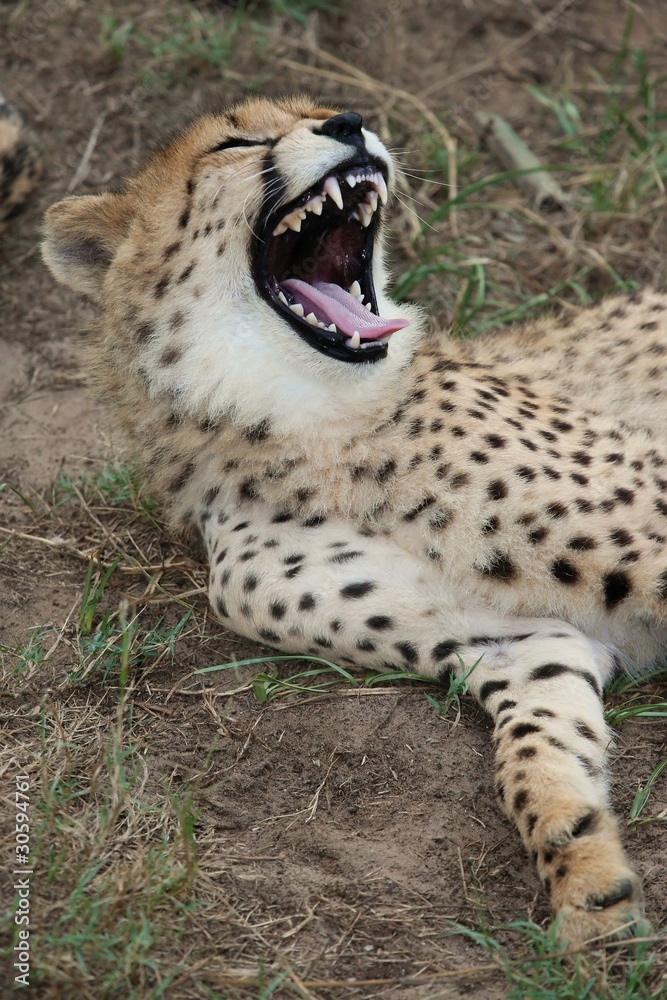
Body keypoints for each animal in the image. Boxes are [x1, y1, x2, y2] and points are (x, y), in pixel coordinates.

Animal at [42, 95, 667, 950]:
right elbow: (534, 758)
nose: (348, 120)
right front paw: (587, 881)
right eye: (237, 141)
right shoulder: (524, 647)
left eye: (311, 113)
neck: (299, 428)